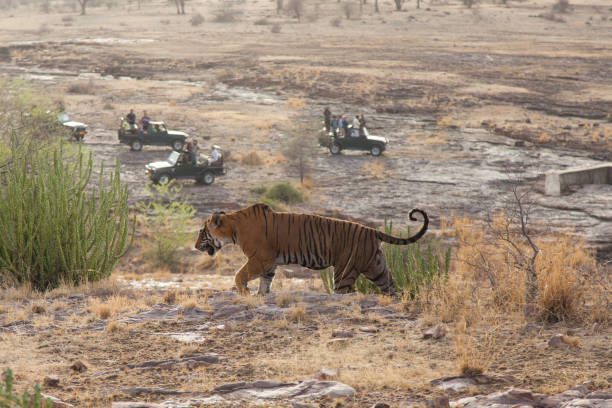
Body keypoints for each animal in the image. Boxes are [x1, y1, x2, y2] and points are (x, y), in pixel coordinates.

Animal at [194, 204, 428, 296]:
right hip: (377, 268)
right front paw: (260, 295)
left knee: (346, 291)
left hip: (345, 271)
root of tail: (372, 230)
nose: (195, 246)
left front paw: (245, 292)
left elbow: (239, 275)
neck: (233, 228)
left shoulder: (259, 259)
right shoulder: (269, 263)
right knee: (392, 288)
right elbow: (265, 281)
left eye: (201, 232)